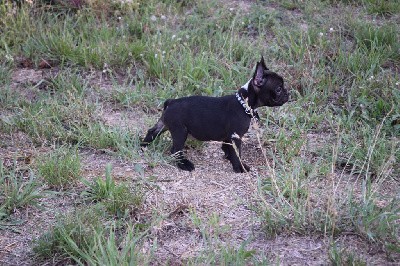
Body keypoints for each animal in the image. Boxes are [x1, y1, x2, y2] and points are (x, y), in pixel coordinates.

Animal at [141, 56, 288, 172]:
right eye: (278, 89)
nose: (288, 93)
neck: (244, 103)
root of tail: (171, 102)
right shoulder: (236, 137)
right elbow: (237, 153)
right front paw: (239, 167)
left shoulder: (229, 137)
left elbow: (228, 148)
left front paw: (228, 157)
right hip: (180, 131)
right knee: (176, 150)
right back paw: (184, 164)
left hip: (165, 124)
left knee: (152, 131)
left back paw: (143, 146)